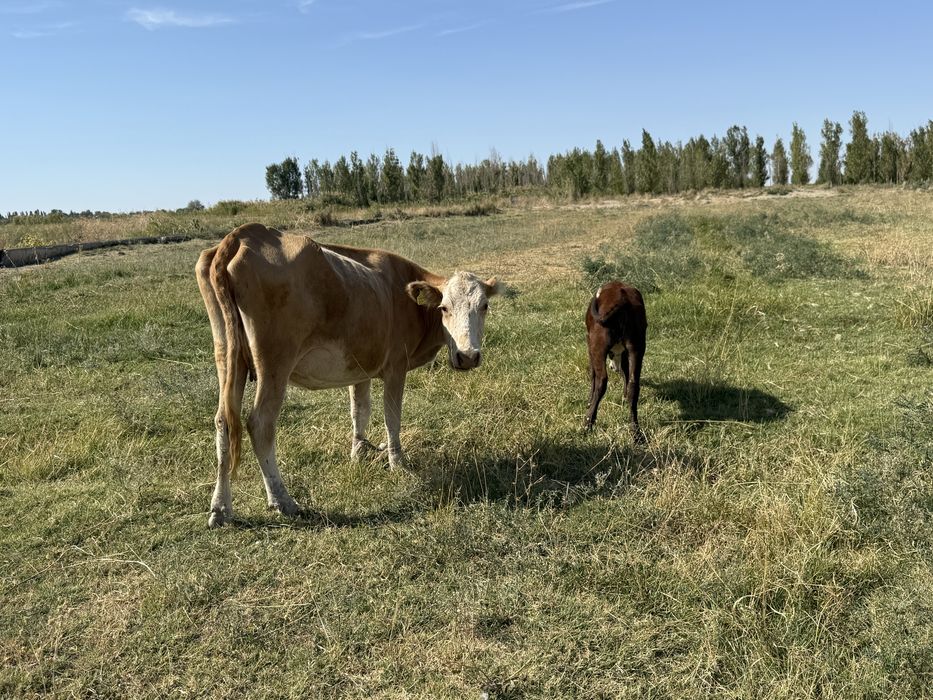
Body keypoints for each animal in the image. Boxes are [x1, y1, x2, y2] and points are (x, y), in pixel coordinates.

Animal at [196, 223, 502, 527]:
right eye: (443, 308)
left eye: (484, 306)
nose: (468, 356)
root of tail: (245, 234)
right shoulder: (395, 366)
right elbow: (392, 417)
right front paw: (397, 463)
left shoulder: (360, 367)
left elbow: (360, 410)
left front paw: (359, 452)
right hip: (274, 362)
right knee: (260, 424)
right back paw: (282, 500)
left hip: (229, 356)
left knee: (224, 422)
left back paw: (220, 508)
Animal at [583, 280, 647, 441]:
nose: (614, 367)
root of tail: (622, 298)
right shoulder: (626, 354)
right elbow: (626, 373)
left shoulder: (589, 344)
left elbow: (593, 375)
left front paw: (589, 400)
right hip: (637, 347)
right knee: (633, 385)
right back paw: (635, 432)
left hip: (597, 345)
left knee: (602, 381)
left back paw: (588, 422)